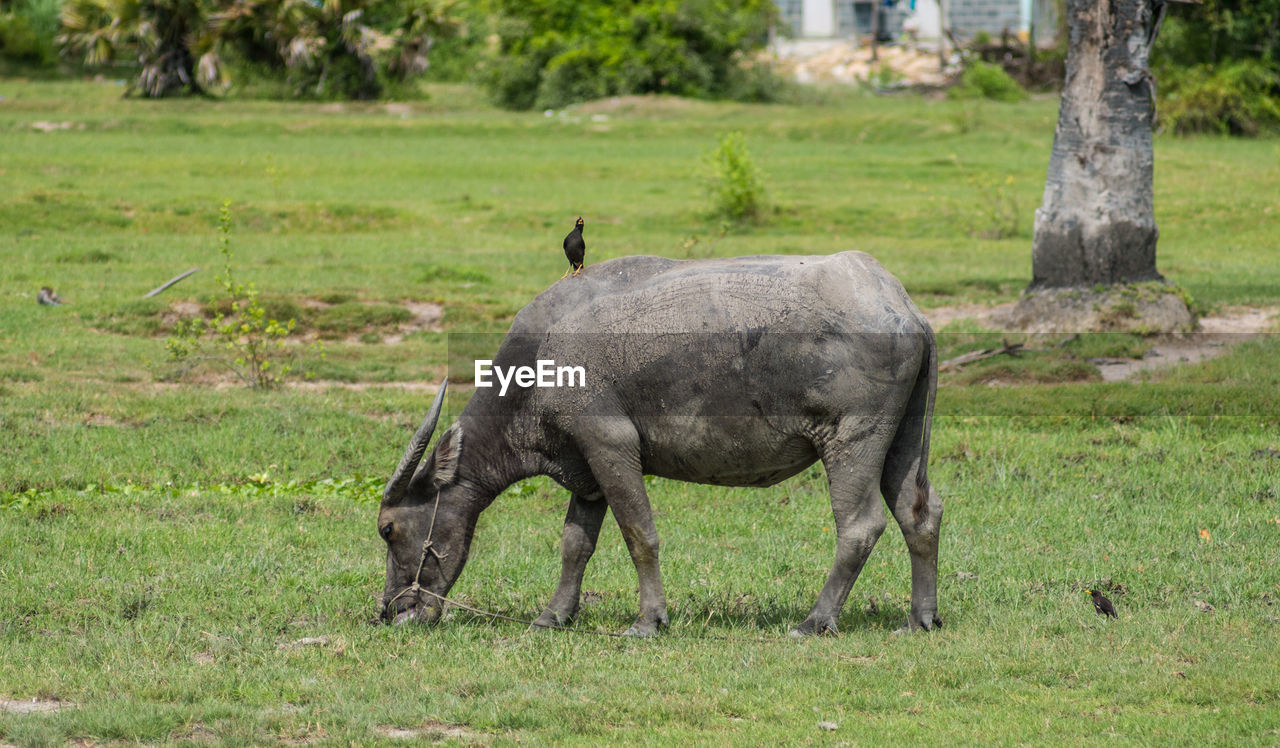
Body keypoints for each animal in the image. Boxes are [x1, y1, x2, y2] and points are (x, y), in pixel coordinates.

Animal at [378, 252, 942, 637]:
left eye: (388, 529)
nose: (390, 610)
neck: (540, 360)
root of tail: (905, 308)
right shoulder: (585, 469)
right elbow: (575, 544)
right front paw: (553, 615)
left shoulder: (609, 445)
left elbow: (638, 533)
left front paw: (649, 619)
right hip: (900, 440)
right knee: (919, 513)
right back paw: (921, 617)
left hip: (850, 441)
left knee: (860, 525)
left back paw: (814, 620)